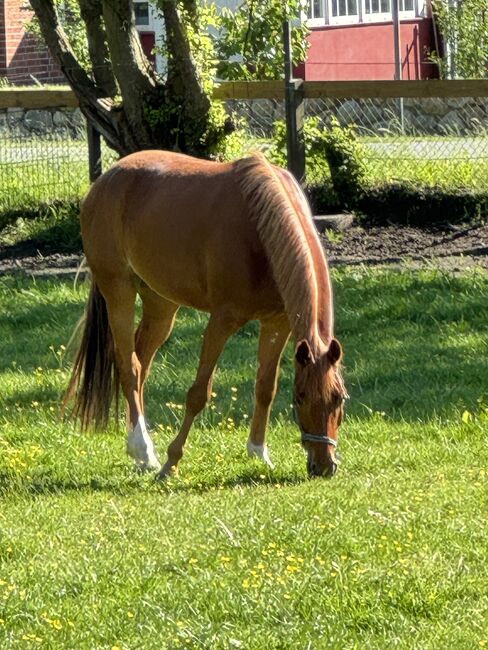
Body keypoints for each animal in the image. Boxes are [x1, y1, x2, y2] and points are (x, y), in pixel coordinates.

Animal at [65, 151, 346, 476]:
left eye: (339, 398)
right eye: (300, 398)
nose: (324, 466)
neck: (260, 231)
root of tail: (105, 180)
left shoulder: (277, 324)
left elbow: (265, 388)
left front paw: (258, 452)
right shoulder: (221, 321)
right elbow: (199, 393)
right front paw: (172, 461)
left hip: (161, 304)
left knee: (141, 364)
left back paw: (137, 450)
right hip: (118, 290)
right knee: (128, 367)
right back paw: (145, 451)